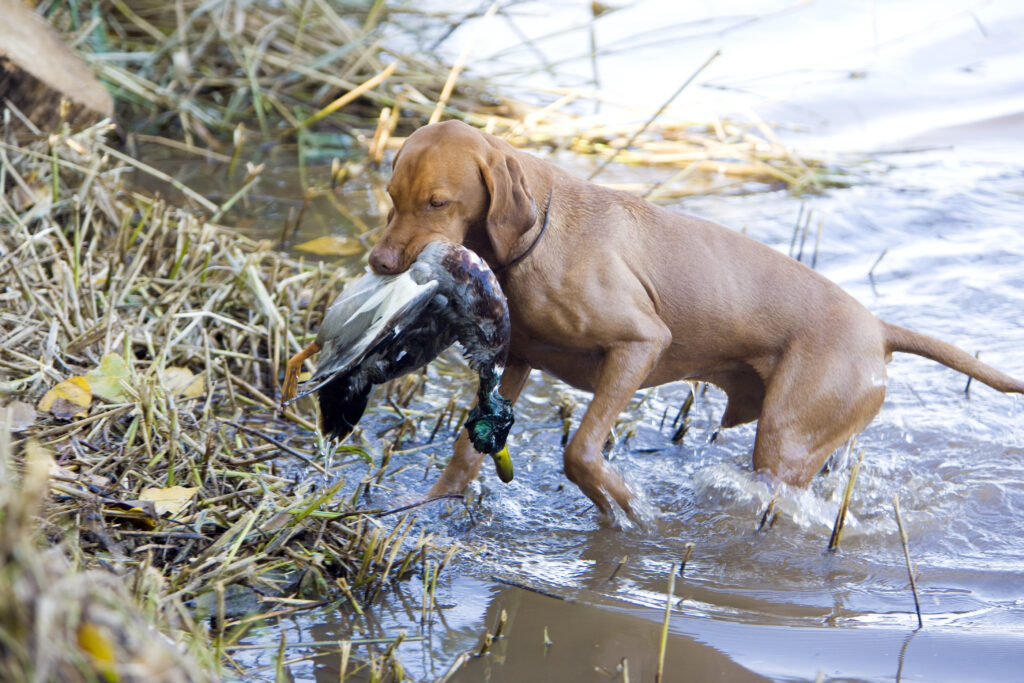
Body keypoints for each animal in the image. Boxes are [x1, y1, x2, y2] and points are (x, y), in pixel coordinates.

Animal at [368, 120, 1024, 516]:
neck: (537, 236)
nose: (379, 263)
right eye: (392, 199)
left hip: (786, 441)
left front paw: (629, 510)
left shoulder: (639, 345)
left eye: (438, 203)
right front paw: (426, 510)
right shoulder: (518, 363)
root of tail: (880, 328)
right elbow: (463, 454)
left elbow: (582, 451)